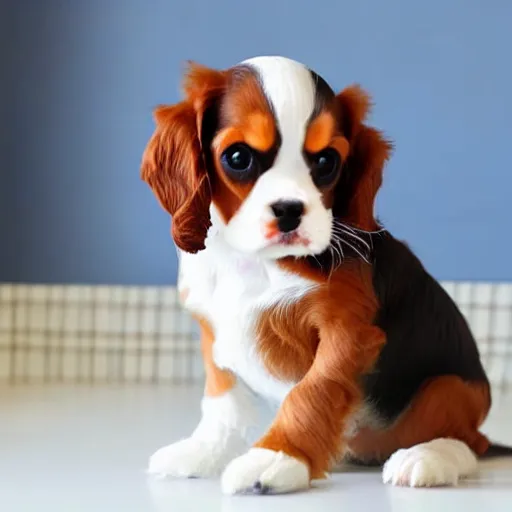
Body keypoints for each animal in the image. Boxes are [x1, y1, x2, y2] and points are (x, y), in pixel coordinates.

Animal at [140, 56, 508, 496]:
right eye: (238, 158)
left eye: (326, 161)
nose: (289, 210)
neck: (256, 262)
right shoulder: (212, 329)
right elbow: (221, 399)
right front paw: (204, 451)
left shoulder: (347, 332)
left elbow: (312, 392)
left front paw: (276, 457)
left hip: (448, 388)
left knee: (469, 443)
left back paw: (426, 458)